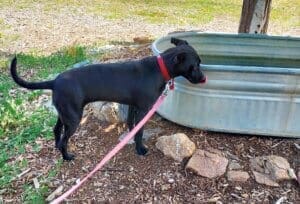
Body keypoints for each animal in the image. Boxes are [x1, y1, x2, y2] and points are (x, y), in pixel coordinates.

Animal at [9, 37, 206, 160]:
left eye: (199, 63)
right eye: (194, 65)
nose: (204, 79)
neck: (159, 69)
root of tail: (55, 81)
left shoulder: (133, 106)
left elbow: (132, 126)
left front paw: (131, 140)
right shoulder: (143, 109)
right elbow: (140, 131)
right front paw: (140, 149)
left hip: (64, 113)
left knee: (56, 130)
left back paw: (57, 147)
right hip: (73, 118)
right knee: (65, 139)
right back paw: (66, 157)